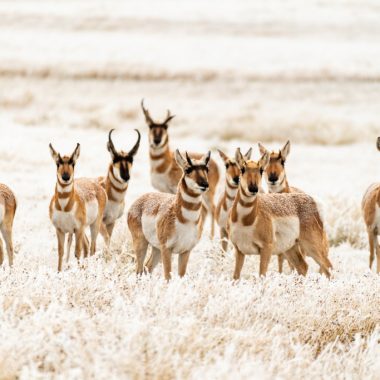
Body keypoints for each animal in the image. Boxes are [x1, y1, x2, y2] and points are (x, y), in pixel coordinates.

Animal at [49, 144, 107, 272]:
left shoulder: (78, 229)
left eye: (73, 163)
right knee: (87, 245)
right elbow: (61, 252)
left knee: (92, 247)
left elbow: (77, 252)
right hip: (83, 229)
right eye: (58, 163)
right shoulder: (60, 230)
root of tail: (96, 184)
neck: (64, 207)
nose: (66, 177)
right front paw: (59, 272)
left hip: (94, 224)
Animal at [127, 150, 211, 280]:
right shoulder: (167, 249)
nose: (204, 184)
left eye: (206, 169)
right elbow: (167, 277)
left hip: (156, 249)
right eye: (188, 169)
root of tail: (140, 199)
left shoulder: (185, 251)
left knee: (147, 268)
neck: (185, 220)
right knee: (139, 270)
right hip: (141, 243)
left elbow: (181, 276)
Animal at [141, 101, 220, 238]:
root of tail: (216, 164)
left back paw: (211, 237)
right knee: (205, 210)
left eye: (166, 127)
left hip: (209, 193)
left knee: (212, 209)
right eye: (150, 126)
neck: (165, 164)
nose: (157, 141)